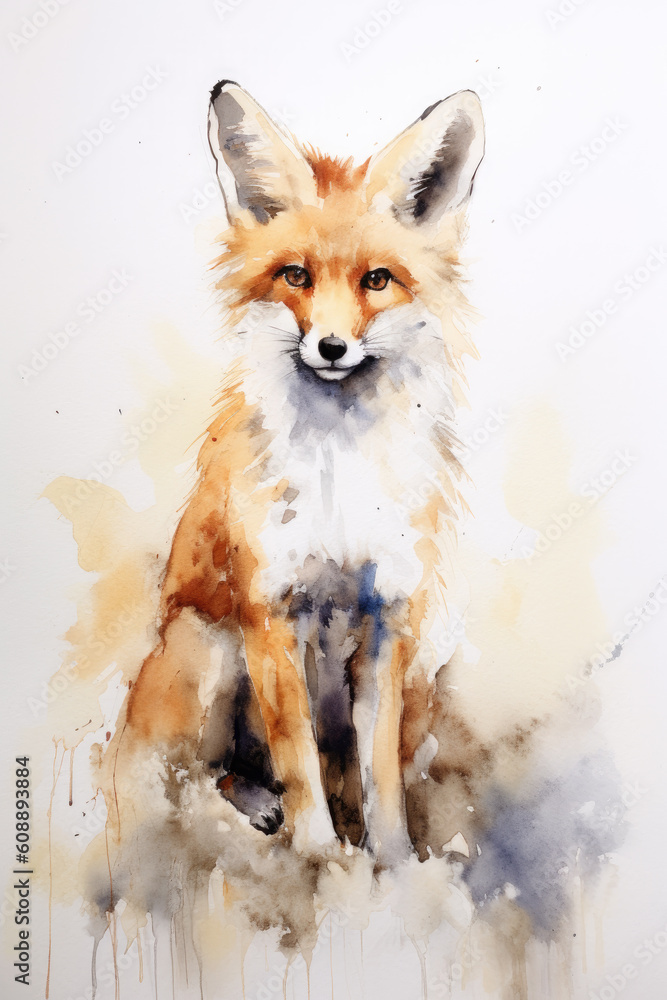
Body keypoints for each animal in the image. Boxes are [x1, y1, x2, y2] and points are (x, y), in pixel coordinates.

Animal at [118, 80, 485, 863]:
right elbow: (298, 762)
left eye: (377, 281)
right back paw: (255, 811)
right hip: (206, 647)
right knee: (189, 774)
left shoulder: (387, 623)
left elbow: (379, 778)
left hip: (417, 683)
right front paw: (320, 861)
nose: (332, 346)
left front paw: (392, 866)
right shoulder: (270, 612)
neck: (338, 478)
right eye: (295, 276)